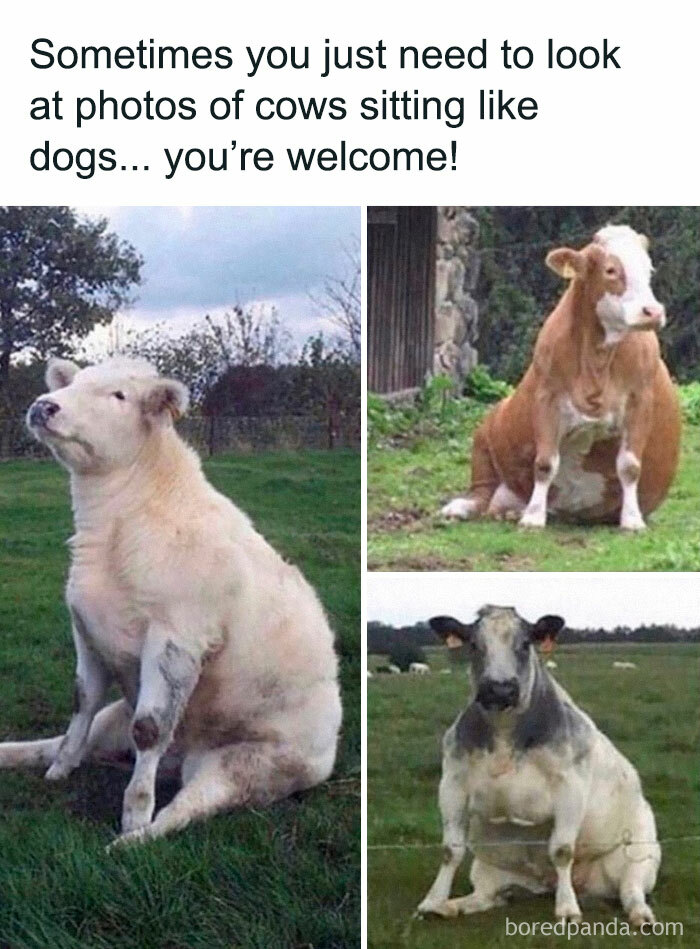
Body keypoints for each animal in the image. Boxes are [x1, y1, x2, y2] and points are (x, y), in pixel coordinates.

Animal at [0, 357, 341, 847]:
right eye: (74, 383)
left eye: (119, 395)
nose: (45, 406)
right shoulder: (86, 628)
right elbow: (81, 700)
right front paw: (60, 769)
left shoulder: (177, 636)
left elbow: (151, 729)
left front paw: (134, 814)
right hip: (116, 720)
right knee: (76, 739)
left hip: (249, 766)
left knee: (187, 808)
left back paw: (132, 843)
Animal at [417, 606, 660, 926]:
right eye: (475, 645)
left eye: (524, 644)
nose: (500, 689)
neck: (505, 732)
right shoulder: (452, 784)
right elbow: (449, 851)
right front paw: (432, 901)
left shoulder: (570, 787)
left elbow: (562, 851)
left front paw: (567, 909)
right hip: (488, 867)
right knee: (485, 896)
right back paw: (453, 906)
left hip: (641, 854)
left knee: (631, 890)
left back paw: (640, 915)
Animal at [441, 225, 681, 530]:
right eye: (611, 270)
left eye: (649, 269)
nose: (653, 312)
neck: (597, 361)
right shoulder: (546, 398)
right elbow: (544, 463)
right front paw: (533, 517)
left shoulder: (641, 402)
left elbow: (630, 466)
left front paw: (632, 520)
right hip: (485, 433)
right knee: (482, 491)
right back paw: (462, 507)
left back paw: (511, 512)